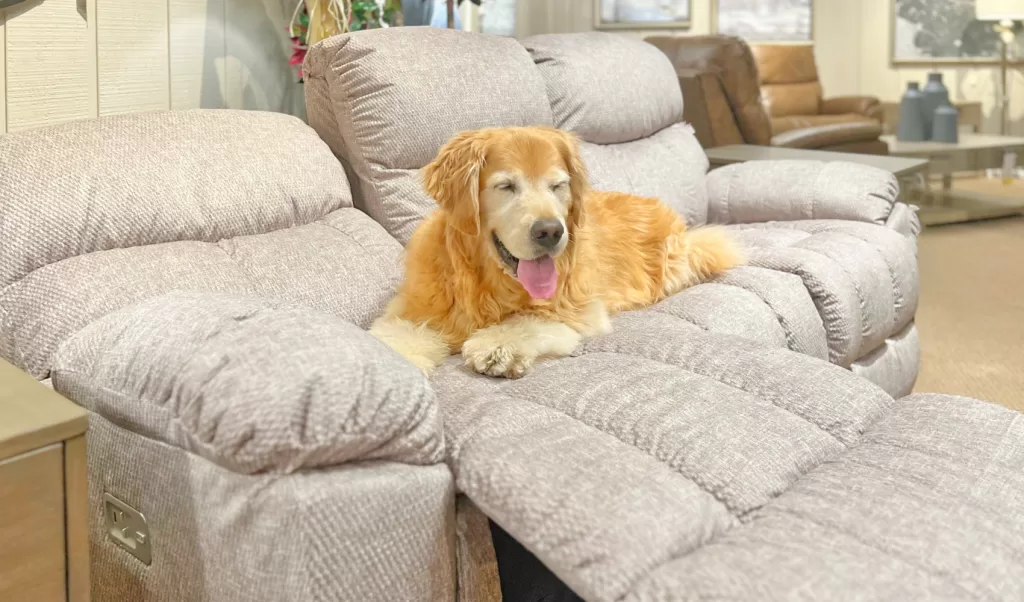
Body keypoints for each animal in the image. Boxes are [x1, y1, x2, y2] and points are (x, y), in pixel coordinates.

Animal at [372, 125, 741, 378]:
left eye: (558, 185)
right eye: (506, 186)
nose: (550, 231)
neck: (490, 282)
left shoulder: (577, 307)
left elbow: (528, 321)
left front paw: (498, 345)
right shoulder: (418, 306)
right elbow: (401, 332)